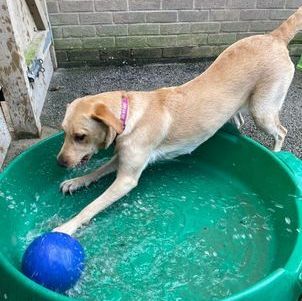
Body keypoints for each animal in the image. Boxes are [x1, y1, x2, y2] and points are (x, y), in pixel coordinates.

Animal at [55, 5, 300, 233]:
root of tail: (274, 36)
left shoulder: (126, 178)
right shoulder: (122, 158)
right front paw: (77, 181)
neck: (128, 114)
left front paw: (67, 227)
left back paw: (277, 154)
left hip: (262, 111)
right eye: (64, 132)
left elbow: (91, 206)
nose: (60, 163)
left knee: (281, 132)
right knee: (238, 119)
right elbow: (97, 171)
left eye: (80, 136)